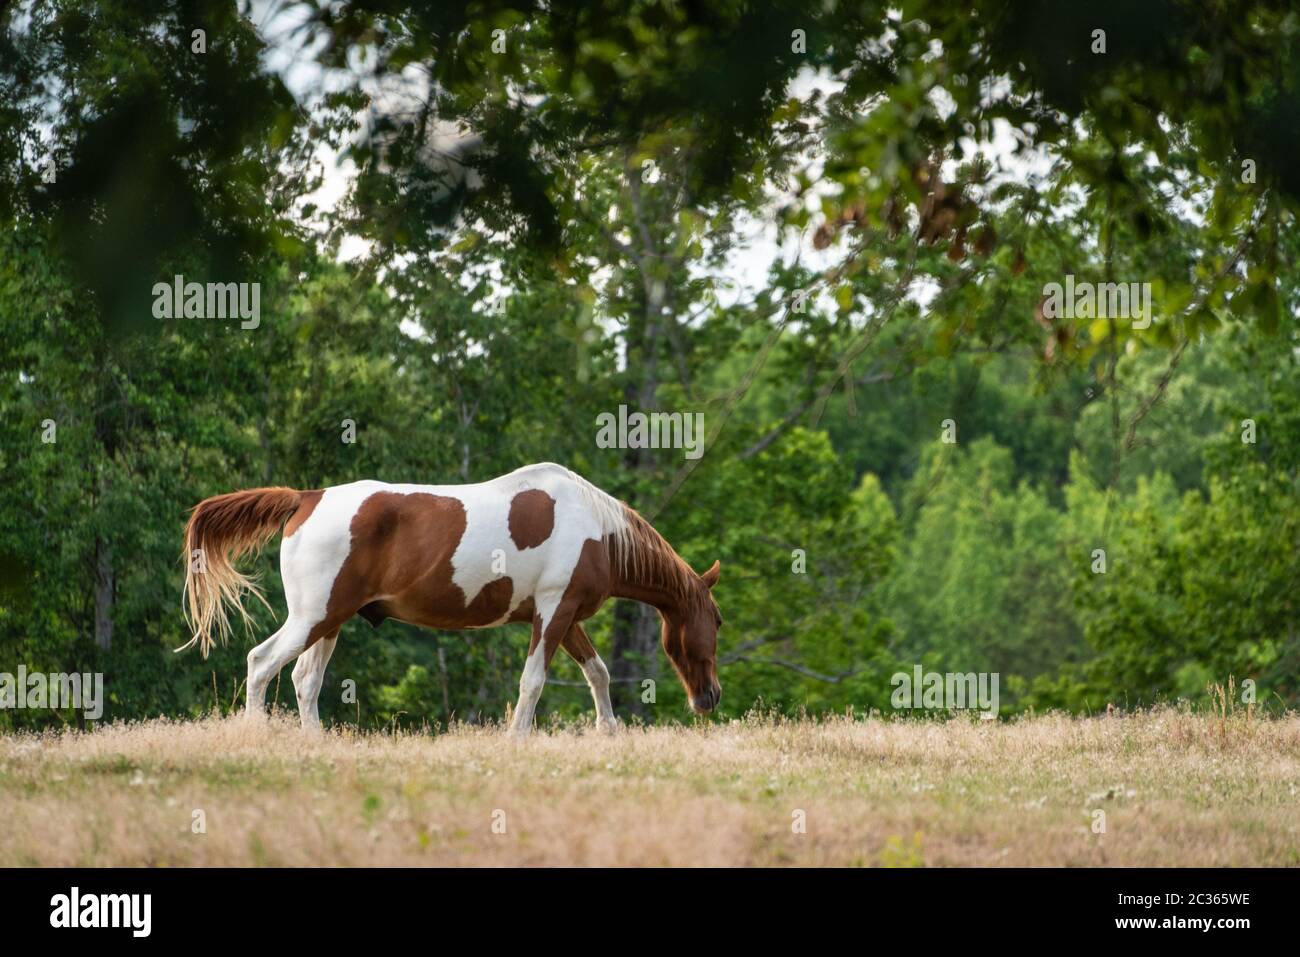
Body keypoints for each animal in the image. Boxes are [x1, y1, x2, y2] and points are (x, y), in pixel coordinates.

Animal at [180, 462, 722, 736]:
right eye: (716, 622)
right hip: (313, 618)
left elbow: (598, 673)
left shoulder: (565, 617)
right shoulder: (553, 612)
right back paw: (256, 736)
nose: (710, 697)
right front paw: (517, 740)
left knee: (304, 680)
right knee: (261, 662)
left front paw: (609, 733)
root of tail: (306, 498)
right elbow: (533, 682)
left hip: (329, 622)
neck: (595, 530)